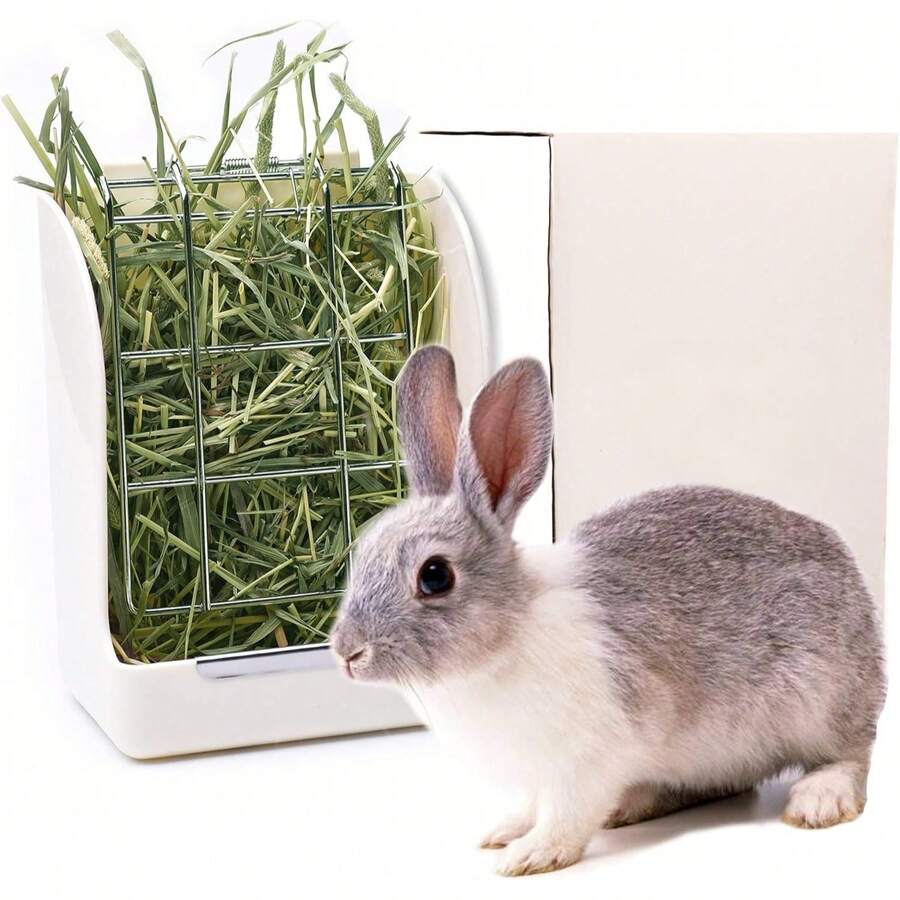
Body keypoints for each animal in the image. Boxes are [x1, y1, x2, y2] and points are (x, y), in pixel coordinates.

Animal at [330, 345, 886, 877]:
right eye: (363, 550)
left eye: (435, 576)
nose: (346, 652)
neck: (508, 636)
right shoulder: (538, 774)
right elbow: (531, 806)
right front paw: (504, 831)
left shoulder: (587, 759)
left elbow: (566, 815)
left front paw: (531, 856)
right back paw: (634, 803)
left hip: (820, 701)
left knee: (853, 757)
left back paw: (818, 800)